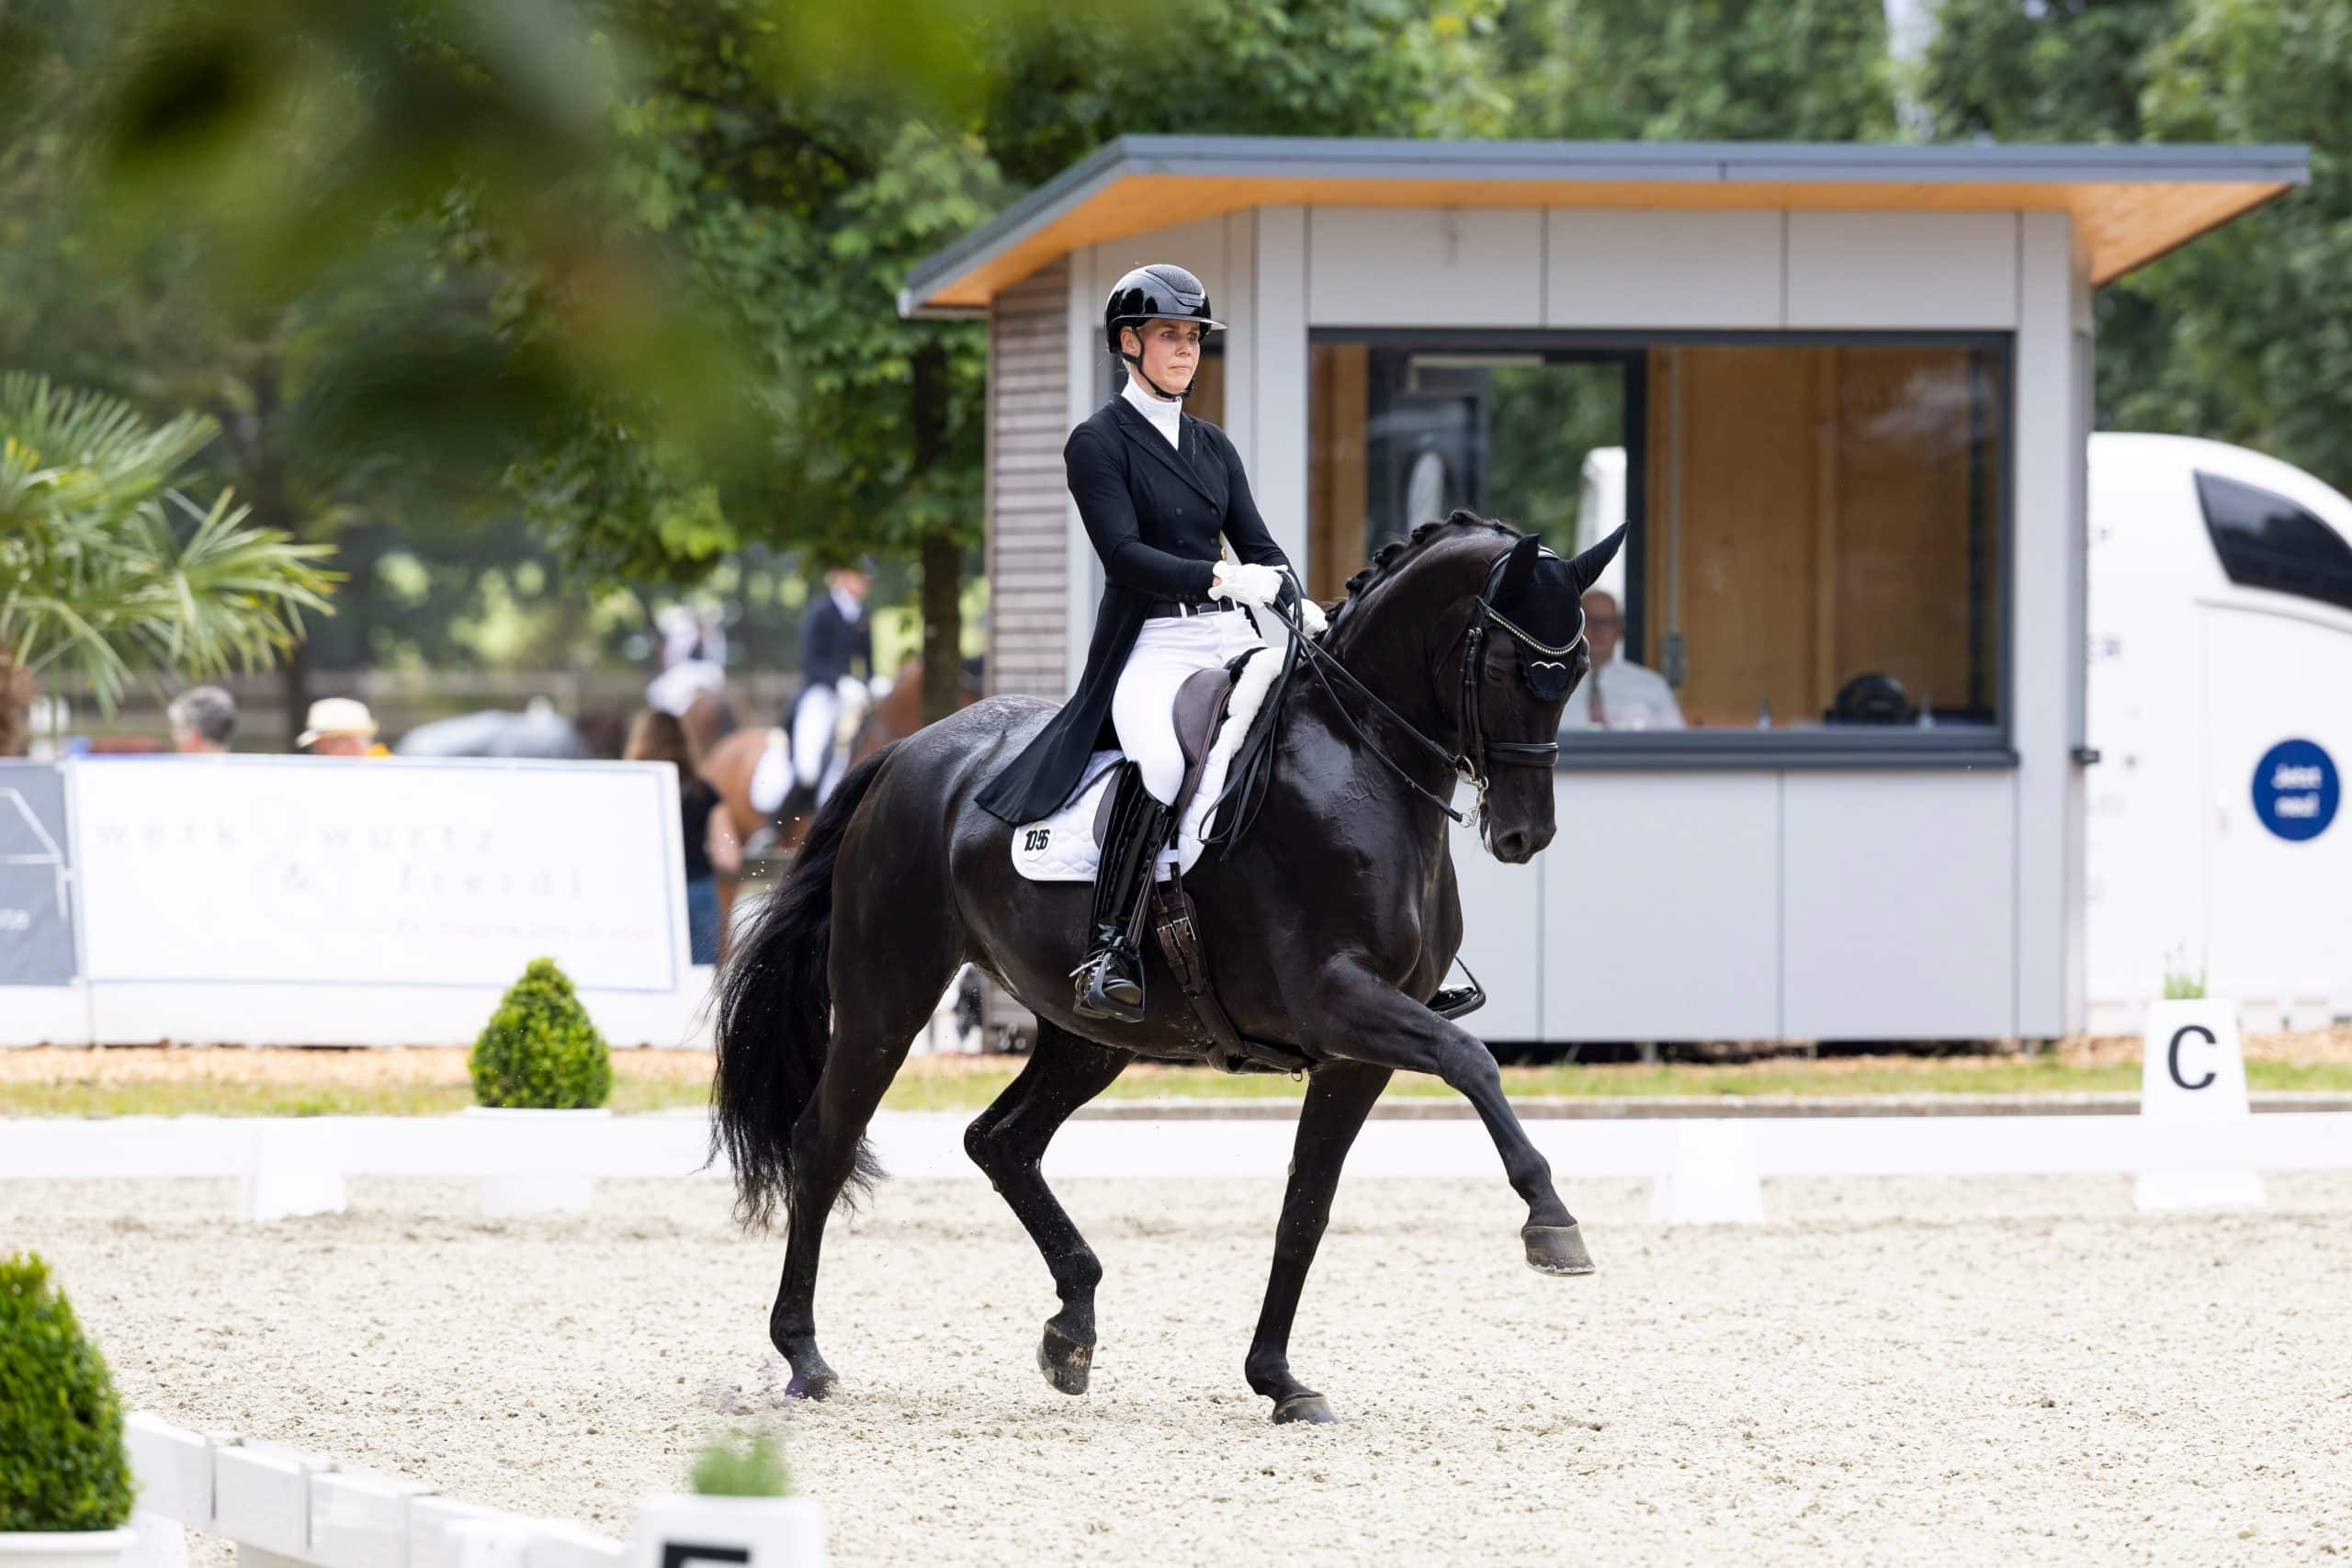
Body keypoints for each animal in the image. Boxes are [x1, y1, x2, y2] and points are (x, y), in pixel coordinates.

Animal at [715, 512, 1627, 1419]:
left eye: (1576, 670)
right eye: (1509, 667)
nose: (1524, 835)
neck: (1357, 761)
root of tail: (906, 753)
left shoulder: (1354, 1053)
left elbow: (1306, 1208)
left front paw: (1279, 1379)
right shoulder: (1336, 999)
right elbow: (1471, 1060)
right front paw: (1552, 1220)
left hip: (1090, 1033)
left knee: (1001, 1141)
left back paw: (1072, 1328)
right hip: (886, 998)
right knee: (825, 1140)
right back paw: (805, 1354)